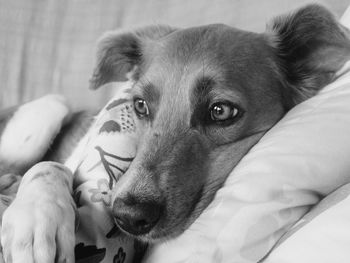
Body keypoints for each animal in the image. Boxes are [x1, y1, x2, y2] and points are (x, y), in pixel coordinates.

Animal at [0, 4, 350, 263]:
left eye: (221, 111)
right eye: (140, 105)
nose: (127, 217)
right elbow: (49, 166)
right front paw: (37, 223)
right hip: (50, 108)